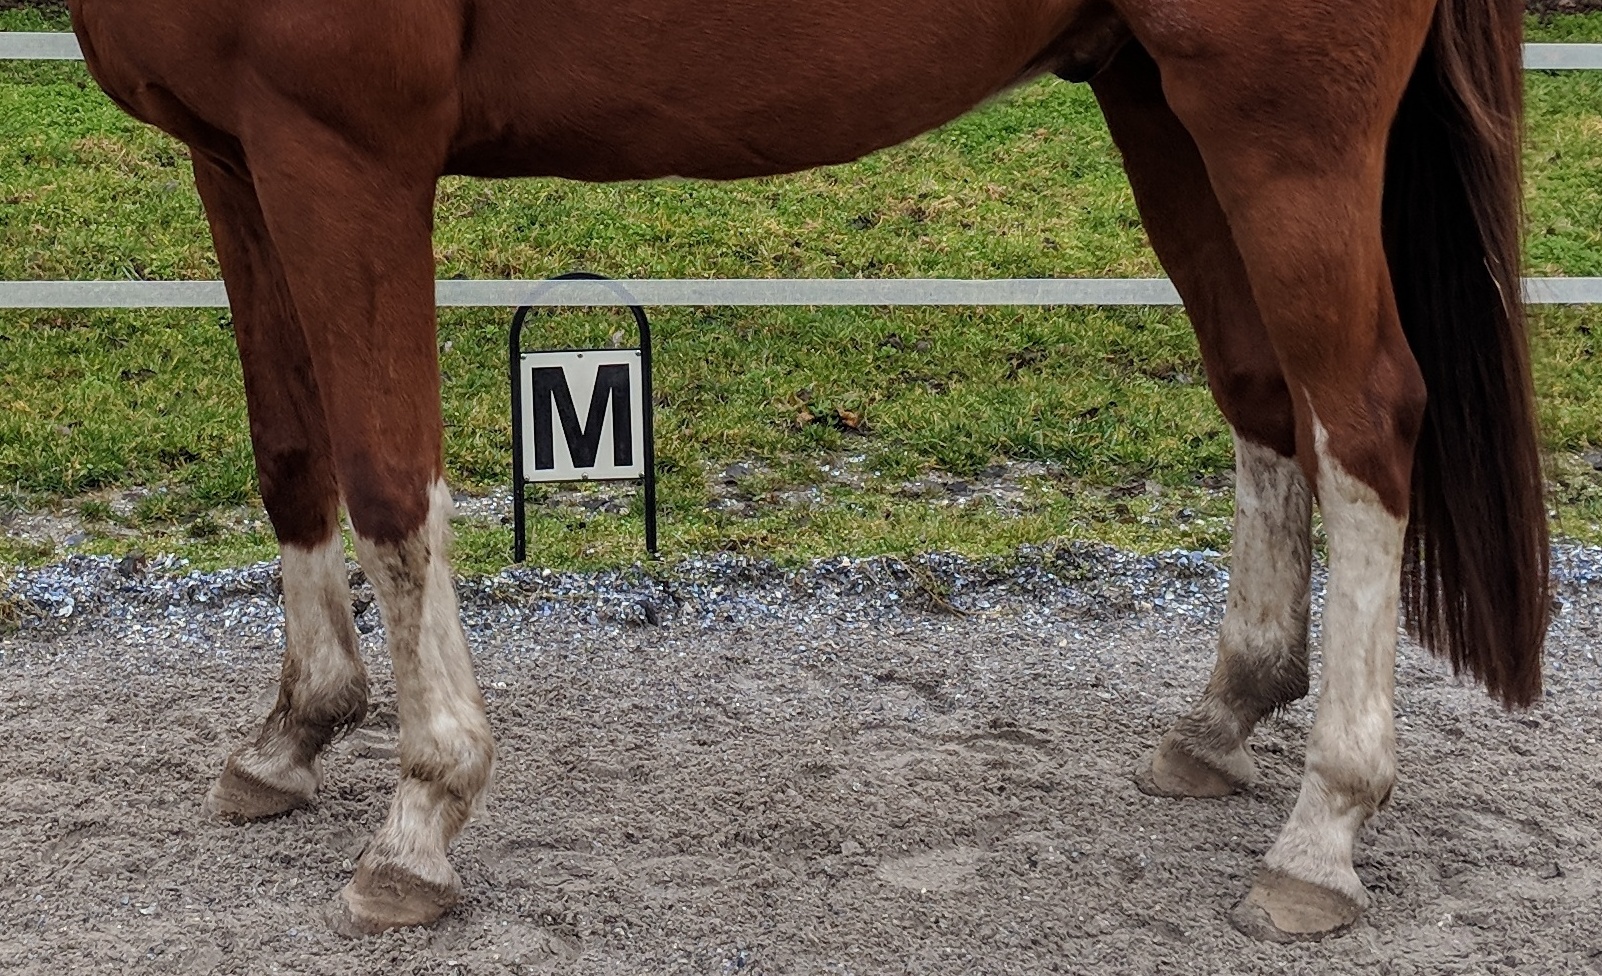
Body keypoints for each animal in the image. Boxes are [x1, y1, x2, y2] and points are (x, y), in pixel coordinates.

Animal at [66, 0, 1548, 942]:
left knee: (1362, 422)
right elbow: (291, 450)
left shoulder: (342, 147)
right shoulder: (236, 153)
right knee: (1263, 397)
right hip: (1159, 98)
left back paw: (1321, 838)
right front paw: (292, 733)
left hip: (1281, 117)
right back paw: (1223, 718)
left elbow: (388, 479)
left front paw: (420, 818)